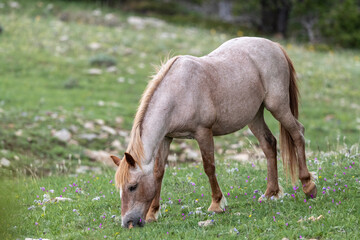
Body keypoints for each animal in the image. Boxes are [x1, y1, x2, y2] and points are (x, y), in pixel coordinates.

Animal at [110, 37, 318, 229]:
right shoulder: (166, 138)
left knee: (298, 133)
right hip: (255, 116)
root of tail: (275, 45)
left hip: (278, 106)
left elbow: (209, 167)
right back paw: (270, 193)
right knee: (269, 144)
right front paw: (153, 213)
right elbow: (158, 172)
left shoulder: (203, 132)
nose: (128, 222)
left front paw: (216, 204)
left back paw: (308, 186)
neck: (178, 92)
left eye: (132, 186)